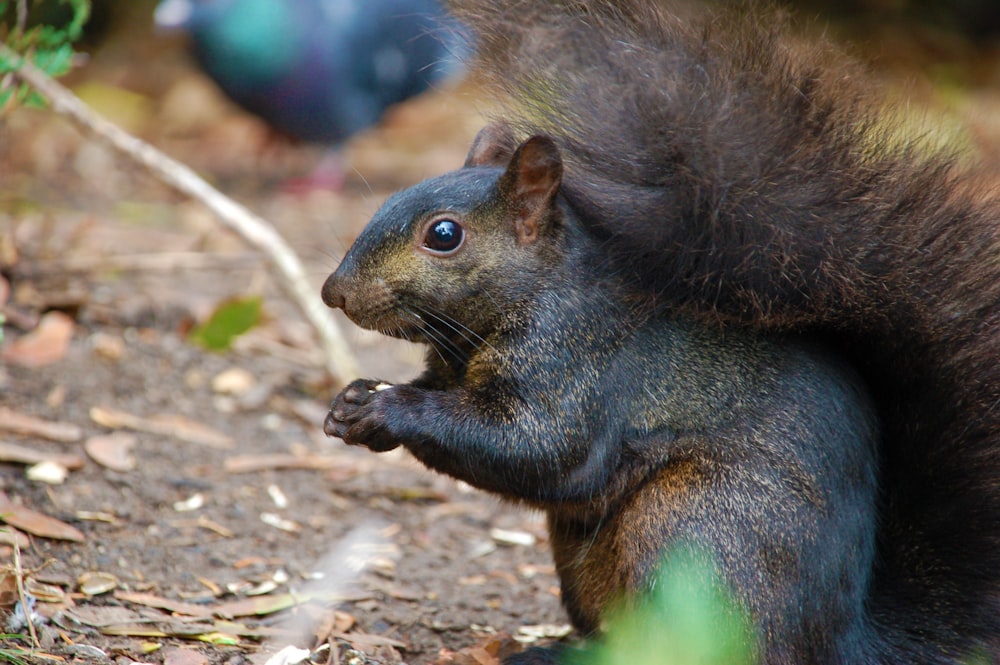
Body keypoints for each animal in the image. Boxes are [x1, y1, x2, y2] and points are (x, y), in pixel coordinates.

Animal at [320, 0, 1000, 660]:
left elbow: (539, 446)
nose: (333, 292)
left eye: (444, 234)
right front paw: (352, 400)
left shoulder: (576, 360)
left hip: (696, 529)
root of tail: (843, 640)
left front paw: (388, 409)